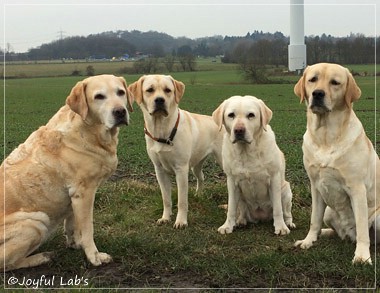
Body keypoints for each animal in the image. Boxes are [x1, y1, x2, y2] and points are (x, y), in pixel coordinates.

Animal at [0, 74, 134, 270]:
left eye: (121, 92)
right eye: (99, 96)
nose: (120, 112)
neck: (89, 131)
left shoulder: (73, 197)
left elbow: (73, 224)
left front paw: (75, 244)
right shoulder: (84, 193)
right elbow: (87, 228)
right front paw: (94, 256)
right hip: (36, 222)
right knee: (7, 262)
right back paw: (43, 257)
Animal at [128, 74, 223, 227]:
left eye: (168, 90)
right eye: (149, 90)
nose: (159, 100)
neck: (161, 128)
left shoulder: (181, 169)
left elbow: (182, 200)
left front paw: (181, 221)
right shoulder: (159, 170)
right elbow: (166, 198)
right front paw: (165, 217)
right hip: (196, 165)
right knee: (202, 177)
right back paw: (199, 195)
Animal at [212, 94, 296, 234]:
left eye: (251, 115)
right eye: (231, 115)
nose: (239, 130)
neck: (246, 152)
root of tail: (260, 217)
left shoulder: (274, 179)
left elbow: (278, 209)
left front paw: (281, 227)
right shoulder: (232, 182)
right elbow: (231, 209)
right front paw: (227, 226)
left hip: (285, 190)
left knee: (286, 212)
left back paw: (288, 223)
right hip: (241, 197)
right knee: (241, 211)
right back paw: (240, 221)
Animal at [292, 62, 378, 264]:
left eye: (335, 82)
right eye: (312, 79)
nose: (317, 94)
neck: (325, 137)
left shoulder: (357, 188)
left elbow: (363, 229)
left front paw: (362, 256)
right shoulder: (316, 186)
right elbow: (314, 219)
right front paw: (308, 240)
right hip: (330, 212)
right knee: (338, 232)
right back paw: (325, 233)